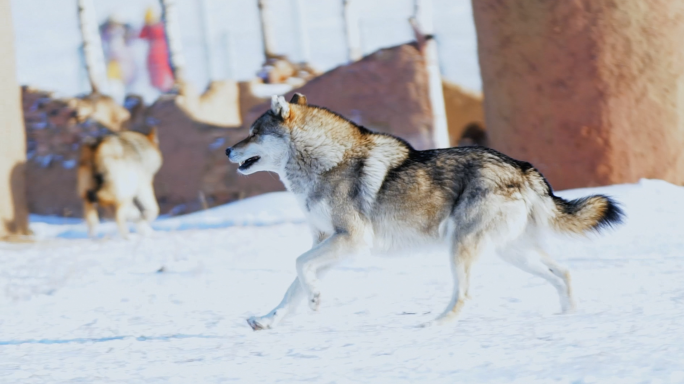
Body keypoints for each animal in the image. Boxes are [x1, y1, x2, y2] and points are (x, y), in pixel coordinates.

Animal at [227, 94, 624, 330]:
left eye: (253, 132)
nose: (228, 150)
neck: (326, 162)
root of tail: (524, 168)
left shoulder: (351, 241)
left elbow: (299, 266)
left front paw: (314, 299)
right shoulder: (327, 241)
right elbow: (292, 284)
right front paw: (268, 319)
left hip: (461, 246)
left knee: (464, 295)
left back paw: (435, 324)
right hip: (511, 252)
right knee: (564, 272)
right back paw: (568, 315)